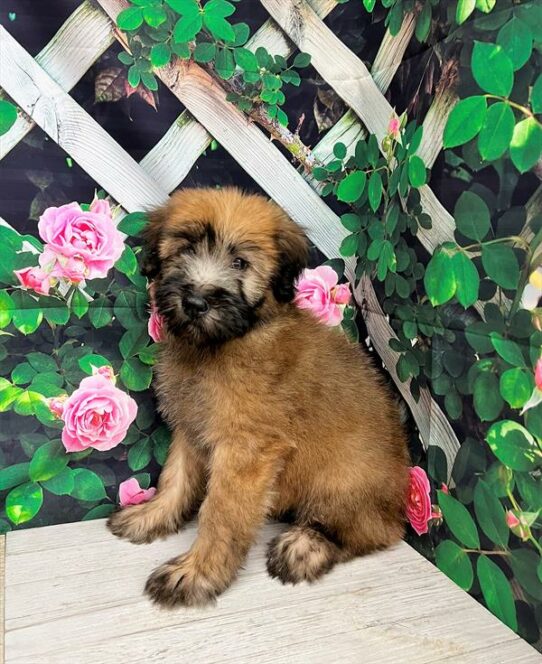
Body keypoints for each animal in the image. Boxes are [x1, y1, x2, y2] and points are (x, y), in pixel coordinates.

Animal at [108, 187, 410, 608]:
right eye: (185, 250)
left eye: (240, 263)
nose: (196, 303)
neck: (222, 343)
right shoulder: (190, 426)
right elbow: (175, 478)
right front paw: (152, 516)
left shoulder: (246, 450)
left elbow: (221, 513)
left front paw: (197, 572)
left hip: (346, 480)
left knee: (371, 531)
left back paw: (305, 546)